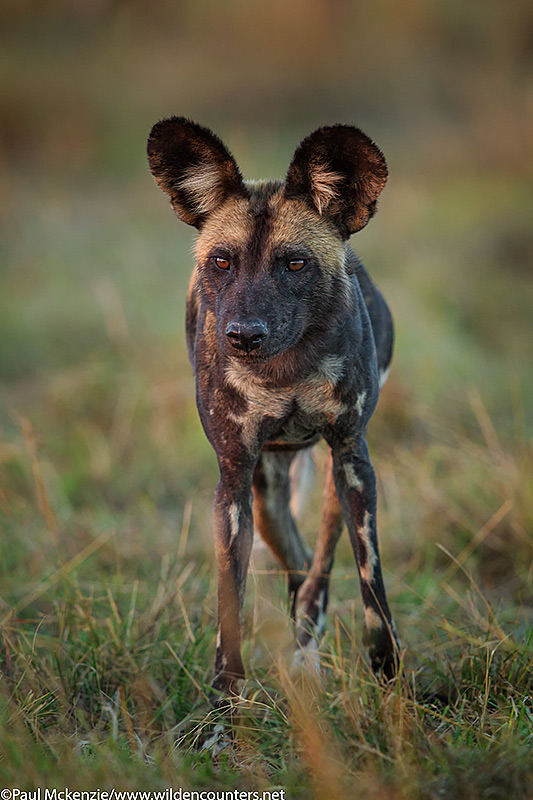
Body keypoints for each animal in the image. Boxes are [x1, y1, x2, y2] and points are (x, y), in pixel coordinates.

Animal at [148, 117, 396, 700]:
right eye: (222, 261)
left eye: (295, 263)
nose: (244, 335)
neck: (286, 372)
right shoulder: (234, 481)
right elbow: (229, 607)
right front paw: (223, 706)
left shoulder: (353, 460)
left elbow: (372, 586)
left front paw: (390, 683)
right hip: (265, 495)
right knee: (300, 563)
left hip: (332, 477)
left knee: (318, 566)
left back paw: (307, 650)